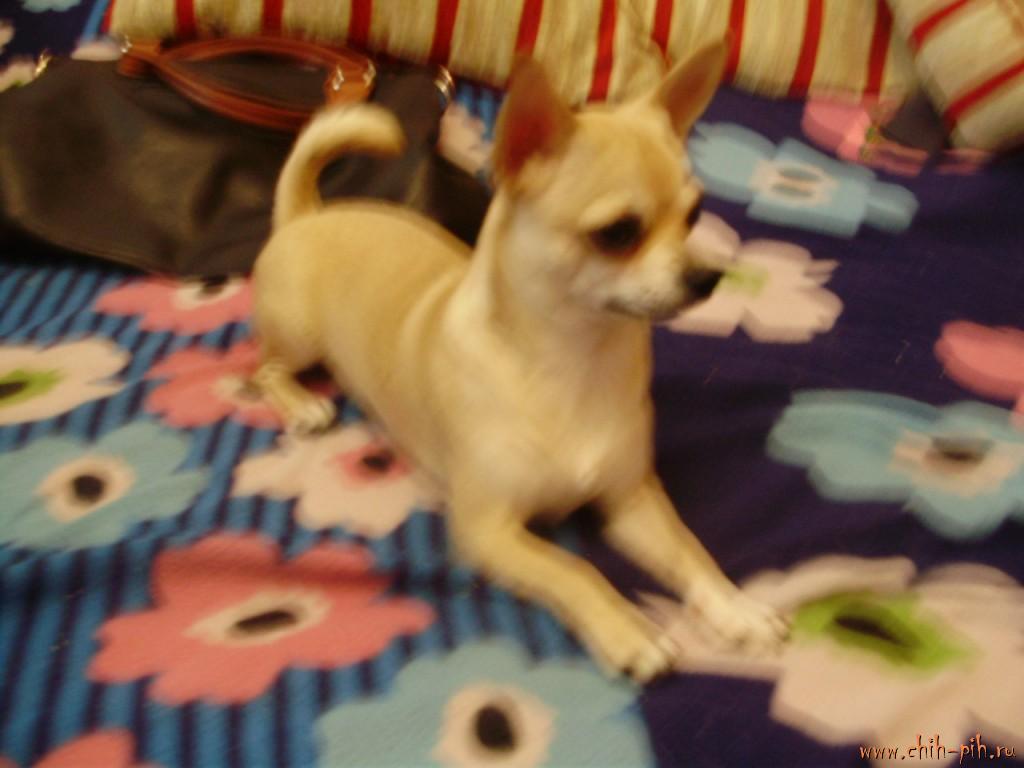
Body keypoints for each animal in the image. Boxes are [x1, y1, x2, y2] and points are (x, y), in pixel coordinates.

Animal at [252, 40, 787, 682]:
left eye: (695, 215)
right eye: (617, 233)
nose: (708, 277)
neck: (576, 358)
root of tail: (309, 212)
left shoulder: (632, 500)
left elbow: (689, 550)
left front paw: (736, 608)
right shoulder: (491, 531)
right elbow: (574, 569)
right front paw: (629, 631)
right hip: (299, 335)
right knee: (260, 370)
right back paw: (302, 404)